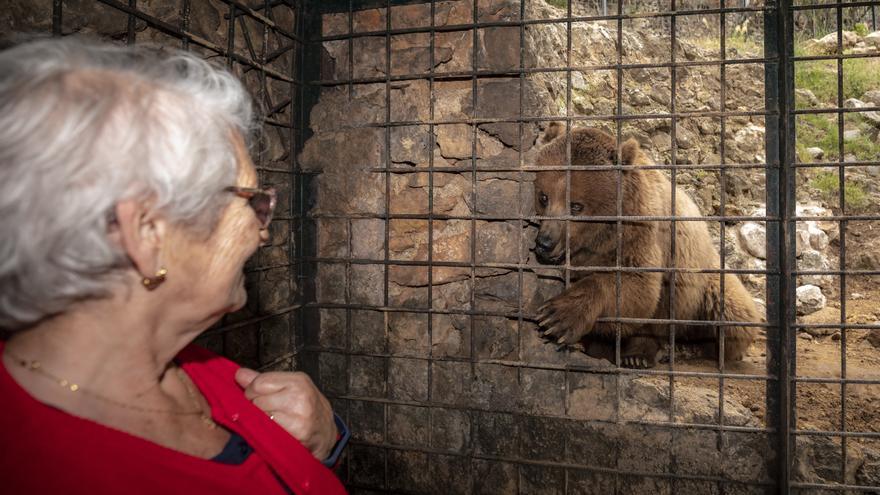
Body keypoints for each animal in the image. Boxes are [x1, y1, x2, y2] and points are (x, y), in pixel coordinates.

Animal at [532, 125, 760, 368]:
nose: (545, 243)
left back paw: (650, 354)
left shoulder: (639, 234)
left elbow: (640, 286)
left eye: (576, 206)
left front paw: (557, 317)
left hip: (703, 280)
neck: (599, 238)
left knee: (729, 316)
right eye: (544, 197)